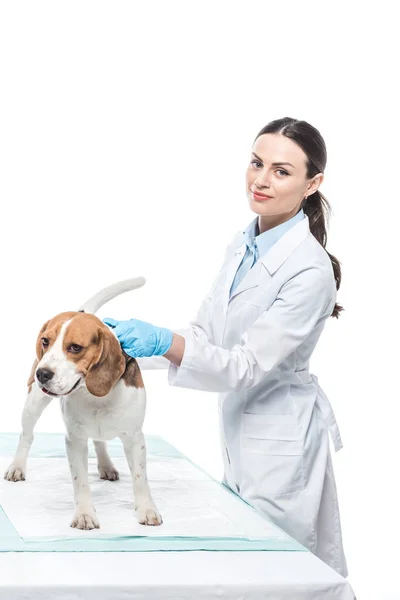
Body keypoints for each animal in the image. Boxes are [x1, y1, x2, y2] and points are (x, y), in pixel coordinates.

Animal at [3, 276, 162, 528]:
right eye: (45, 341)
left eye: (75, 348)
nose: (42, 374)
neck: (96, 395)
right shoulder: (75, 440)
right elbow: (81, 481)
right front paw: (85, 514)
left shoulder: (135, 439)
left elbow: (140, 478)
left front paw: (147, 509)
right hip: (32, 404)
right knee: (26, 436)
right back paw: (17, 467)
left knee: (99, 442)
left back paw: (106, 465)